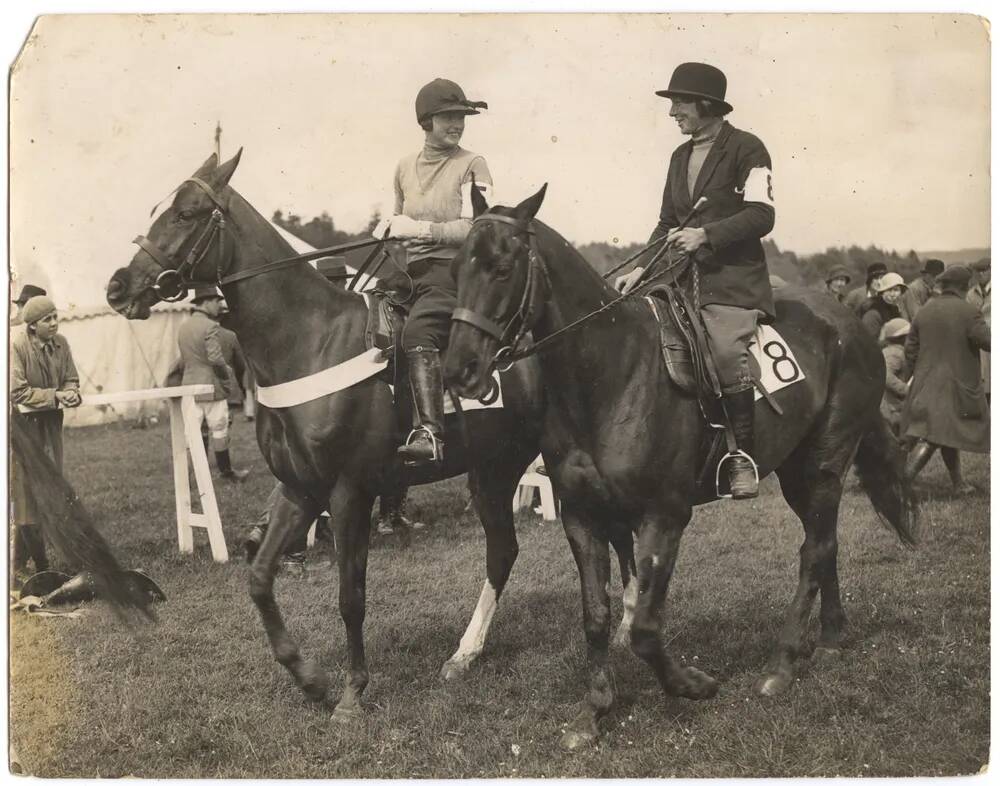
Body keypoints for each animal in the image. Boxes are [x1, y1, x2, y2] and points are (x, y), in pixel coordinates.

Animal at [103, 152, 632, 716]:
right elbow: (260, 579)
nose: (118, 286)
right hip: (495, 470)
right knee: (506, 551)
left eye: (186, 213)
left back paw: (622, 620)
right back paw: (468, 653)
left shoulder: (348, 493)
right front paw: (309, 677)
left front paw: (353, 693)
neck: (310, 341)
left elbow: (350, 598)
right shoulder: (300, 489)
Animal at [448, 184, 920, 748]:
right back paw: (829, 637)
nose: (459, 369)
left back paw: (781, 666)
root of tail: (851, 325)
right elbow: (596, 615)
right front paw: (593, 713)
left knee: (816, 550)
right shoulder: (582, 516)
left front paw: (693, 684)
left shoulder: (665, 516)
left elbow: (646, 630)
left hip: (825, 464)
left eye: (502, 268)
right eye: (455, 270)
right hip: (797, 469)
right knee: (824, 542)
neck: (610, 375)